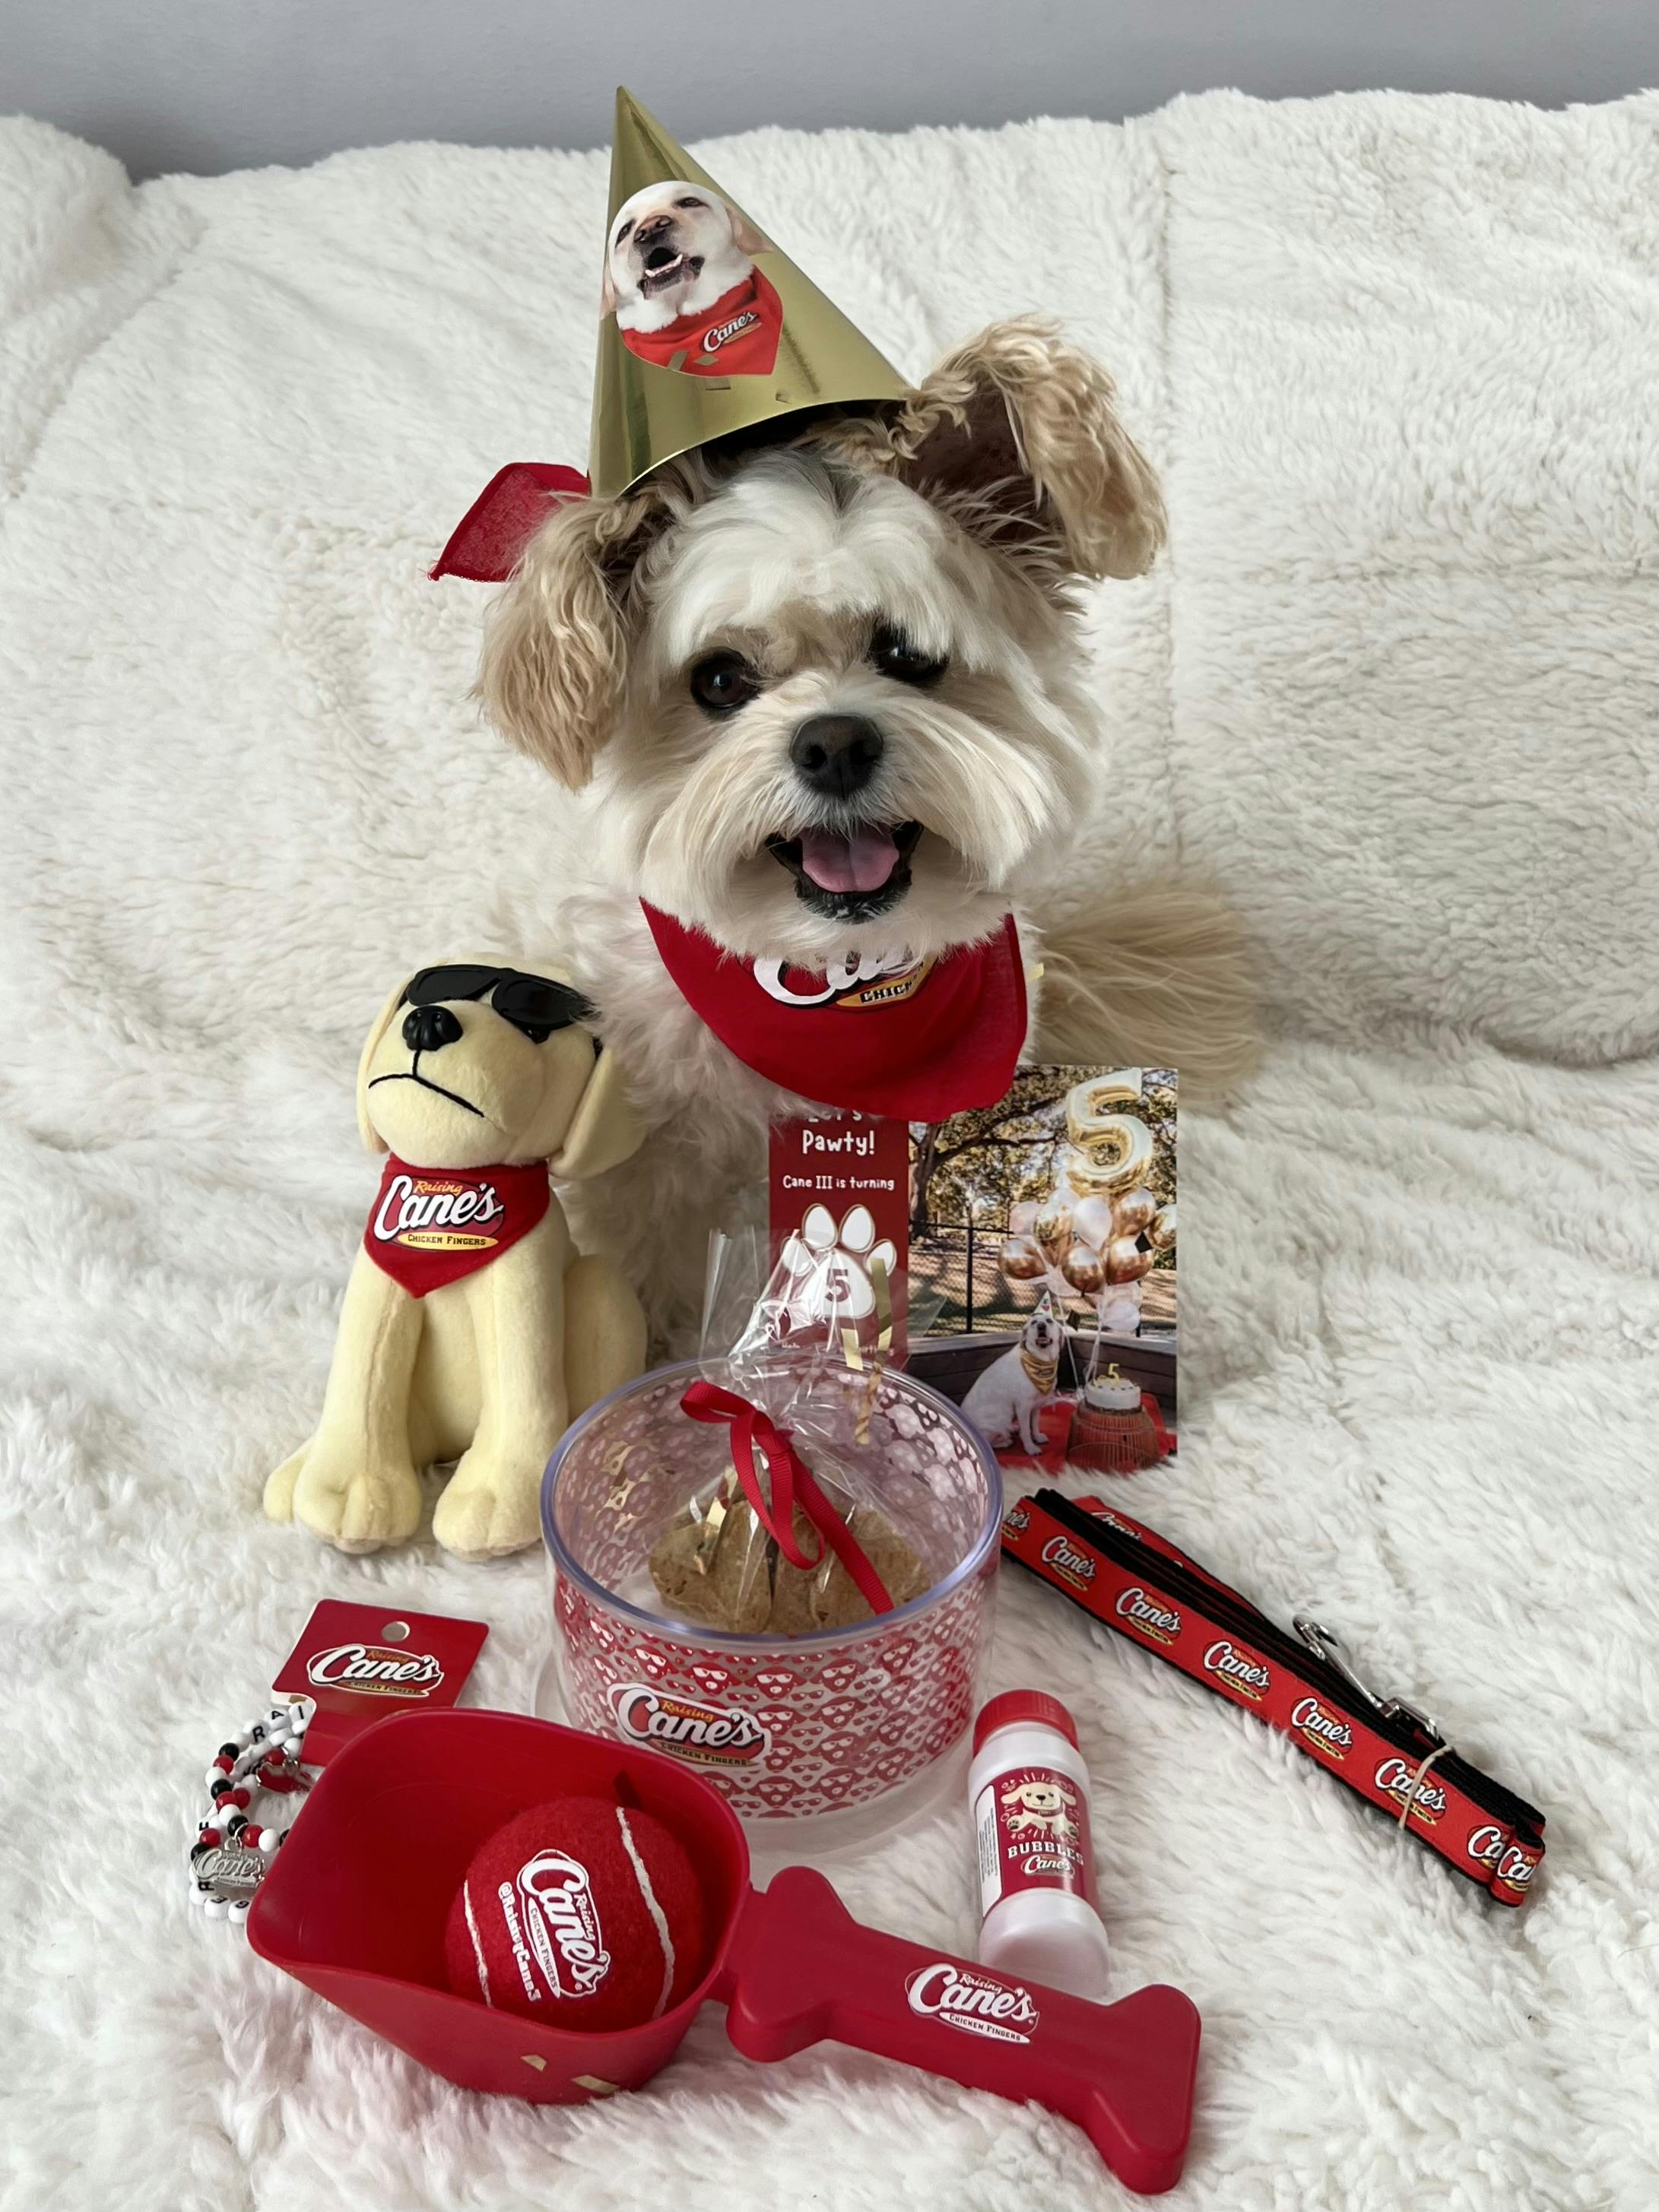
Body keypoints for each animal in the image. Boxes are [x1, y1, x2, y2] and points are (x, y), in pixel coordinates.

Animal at [473, 318, 1256, 1336]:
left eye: (908, 654)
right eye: (718, 679)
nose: (834, 742)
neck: (831, 981)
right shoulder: (646, 1139)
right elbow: (647, 1259)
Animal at [960, 1301, 1066, 1459]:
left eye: (1049, 1321)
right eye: (1034, 1323)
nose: (1041, 1326)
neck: (1041, 1361)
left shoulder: (1036, 1405)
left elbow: (1034, 1424)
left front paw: (1037, 1436)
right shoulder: (1024, 1406)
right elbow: (1026, 1431)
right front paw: (1030, 1447)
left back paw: (1013, 1429)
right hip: (1001, 1419)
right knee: (991, 1443)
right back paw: (1007, 1440)